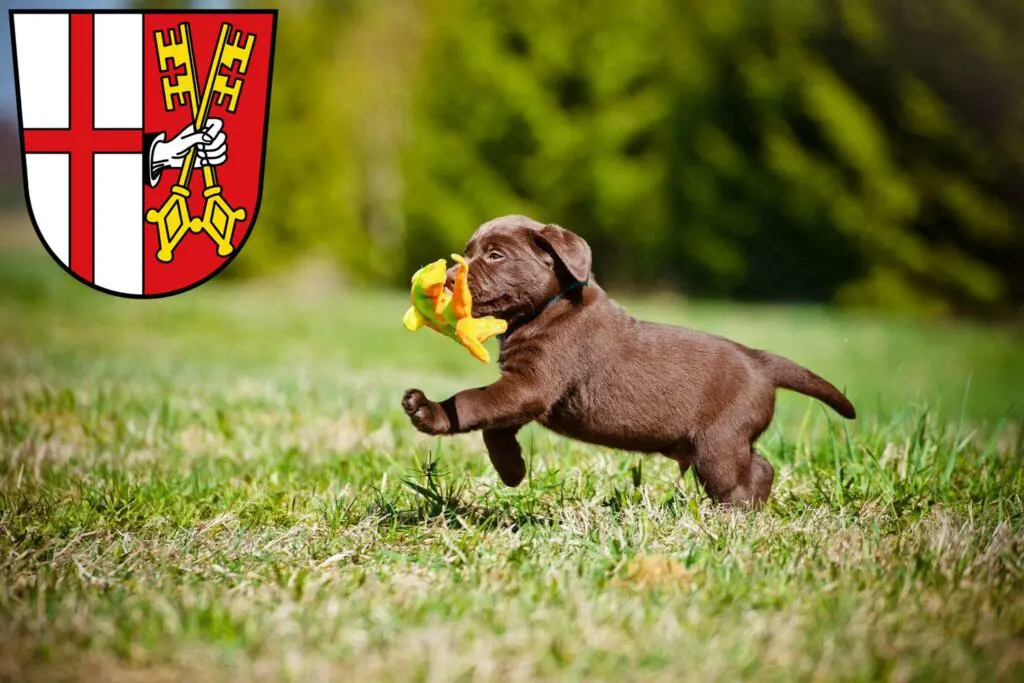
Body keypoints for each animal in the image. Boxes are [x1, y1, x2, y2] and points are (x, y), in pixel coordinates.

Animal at [401, 214, 856, 507]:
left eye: (495, 256)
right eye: (466, 254)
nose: (446, 281)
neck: (551, 305)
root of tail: (760, 360)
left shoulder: (531, 385)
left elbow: (472, 402)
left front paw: (428, 411)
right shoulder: (520, 390)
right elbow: (494, 427)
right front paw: (512, 470)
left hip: (718, 444)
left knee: (735, 482)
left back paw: (732, 518)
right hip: (729, 440)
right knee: (761, 466)